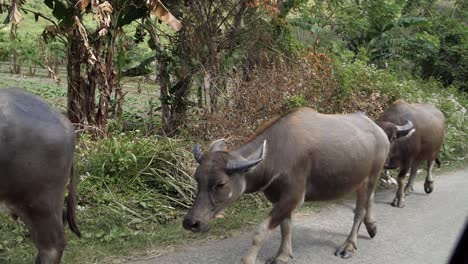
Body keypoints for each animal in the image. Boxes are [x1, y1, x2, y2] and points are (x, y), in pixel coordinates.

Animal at [183, 108, 414, 264]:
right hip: (360, 179)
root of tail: (380, 133)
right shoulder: (280, 198)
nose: (190, 223)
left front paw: (248, 259)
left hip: (373, 175)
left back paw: (349, 245)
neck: (274, 156)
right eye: (197, 178)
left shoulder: (293, 197)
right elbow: (285, 227)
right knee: (369, 201)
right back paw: (372, 226)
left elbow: (259, 232)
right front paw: (283, 255)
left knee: (359, 210)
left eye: (220, 183)